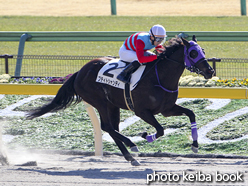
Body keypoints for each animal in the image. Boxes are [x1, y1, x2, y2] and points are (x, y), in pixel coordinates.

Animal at [26, 36, 213, 166]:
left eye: (203, 50)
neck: (159, 77)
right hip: (99, 101)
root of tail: (80, 72)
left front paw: (195, 145)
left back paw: (130, 157)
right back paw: (131, 145)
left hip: (112, 105)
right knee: (107, 126)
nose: (210, 71)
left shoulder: (167, 109)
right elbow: (160, 130)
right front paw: (145, 135)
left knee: (112, 128)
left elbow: (191, 113)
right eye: (193, 53)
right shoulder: (142, 111)